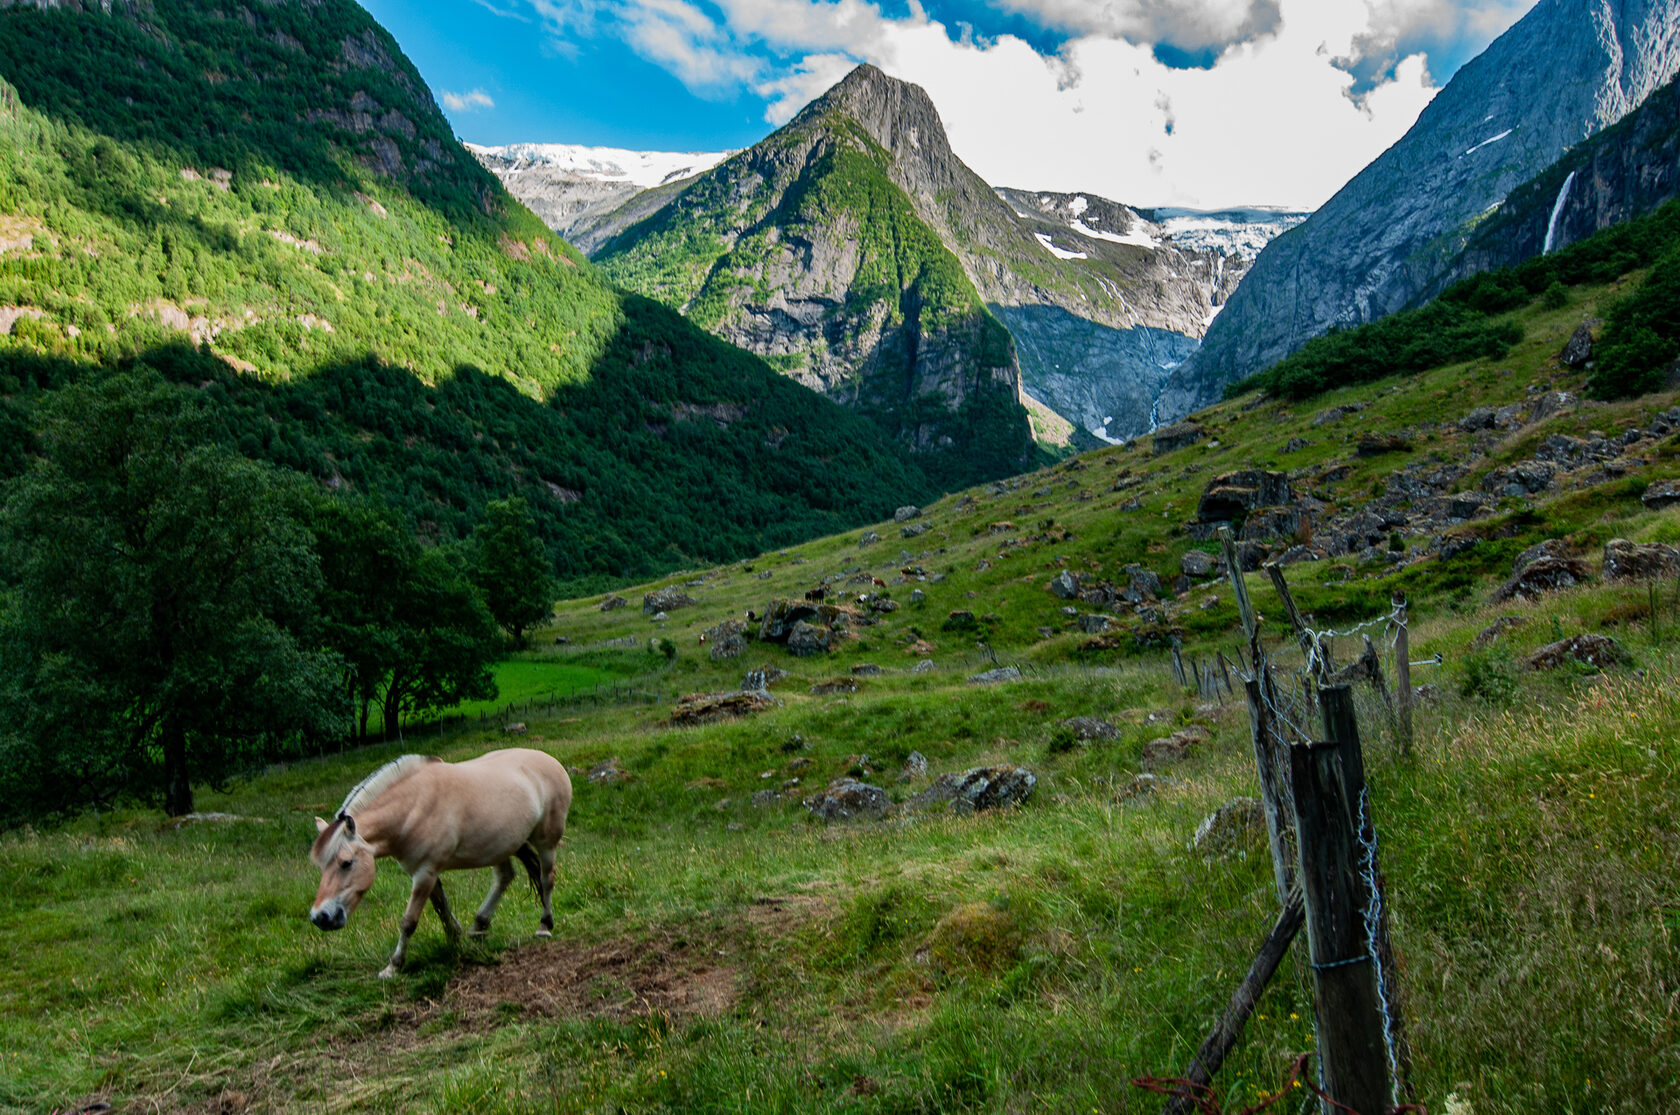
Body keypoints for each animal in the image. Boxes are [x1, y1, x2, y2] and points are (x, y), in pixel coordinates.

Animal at [310, 748, 577, 973]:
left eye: (346, 863)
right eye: (321, 867)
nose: (319, 917)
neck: (413, 807)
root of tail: (551, 761)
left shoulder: (425, 872)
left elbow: (409, 921)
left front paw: (394, 966)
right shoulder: (424, 872)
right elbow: (442, 909)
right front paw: (455, 940)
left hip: (546, 842)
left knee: (546, 877)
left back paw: (544, 926)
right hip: (498, 845)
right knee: (505, 877)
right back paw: (479, 926)